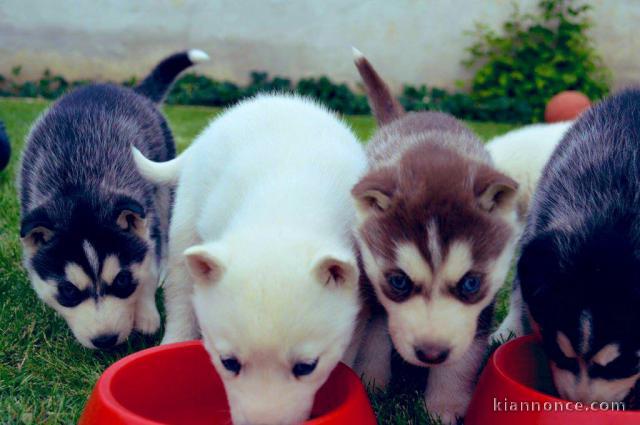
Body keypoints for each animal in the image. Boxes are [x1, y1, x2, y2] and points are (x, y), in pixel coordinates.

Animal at [18, 48, 208, 348]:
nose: (105, 340)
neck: (79, 185)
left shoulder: (146, 215)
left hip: (162, 184)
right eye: (68, 291)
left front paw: (146, 313)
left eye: (122, 281)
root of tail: (128, 90)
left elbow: (148, 264)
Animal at [350, 48, 520, 420]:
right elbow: (373, 337)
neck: (430, 149)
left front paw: (445, 407)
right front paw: (372, 385)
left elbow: (462, 359)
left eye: (470, 283)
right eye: (398, 281)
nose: (430, 354)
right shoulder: (371, 282)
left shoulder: (481, 308)